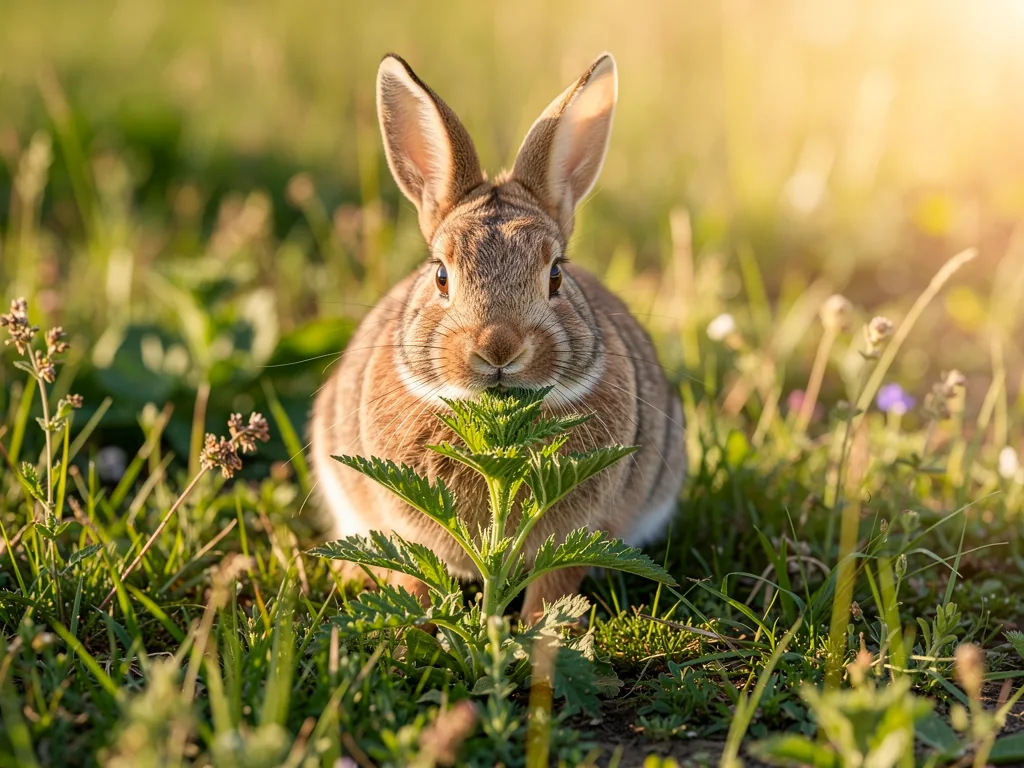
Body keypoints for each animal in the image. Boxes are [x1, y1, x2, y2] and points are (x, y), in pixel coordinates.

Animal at [310, 52, 686, 621]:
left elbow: (555, 586)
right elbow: (415, 575)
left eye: (556, 276)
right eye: (441, 275)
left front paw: (541, 630)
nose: (498, 348)